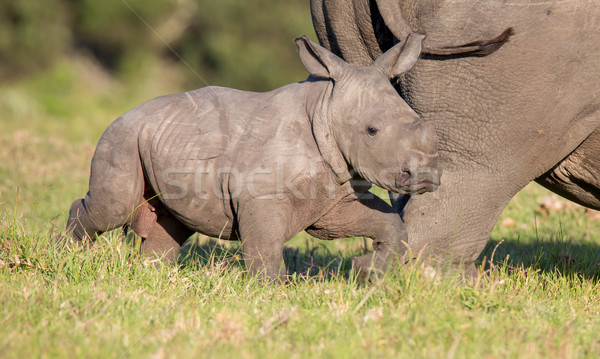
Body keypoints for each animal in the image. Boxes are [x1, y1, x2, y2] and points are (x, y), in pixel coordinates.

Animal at [67, 33, 440, 282]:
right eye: (372, 131)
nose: (425, 176)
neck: (325, 108)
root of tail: (127, 113)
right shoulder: (261, 195)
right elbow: (265, 246)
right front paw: (269, 292)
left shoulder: (335, 196)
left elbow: (388, 223)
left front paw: (368, 271)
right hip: (122, 136)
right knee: (113, 208)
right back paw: (68, 253)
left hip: (163, 139)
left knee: (171, 223)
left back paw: (151, 275)